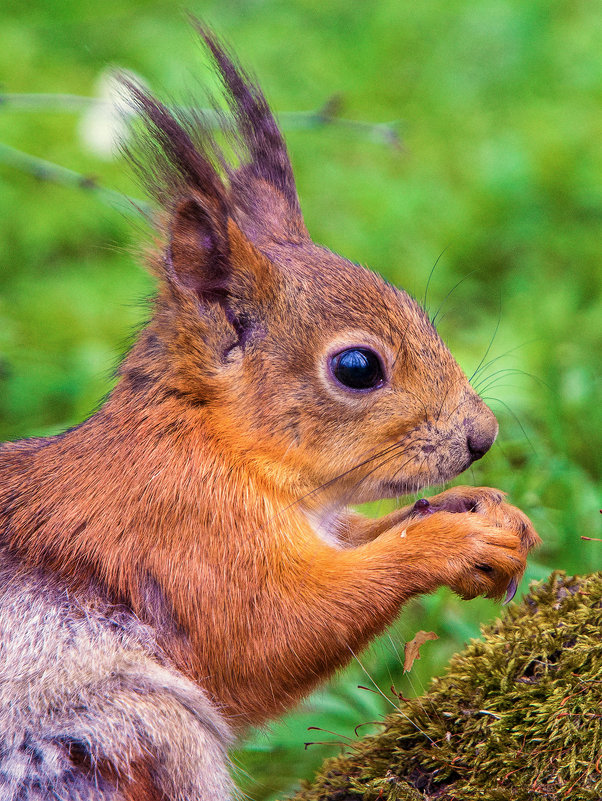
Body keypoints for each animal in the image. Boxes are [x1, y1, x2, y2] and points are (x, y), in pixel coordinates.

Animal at [0, 21, 540, 800]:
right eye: (357, 368)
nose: (483, 436)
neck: (209, 443)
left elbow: (366, 532)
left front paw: (482, 509)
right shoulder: (184, 540)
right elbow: (269, 639)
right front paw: (449, 543)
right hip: (118, 732)